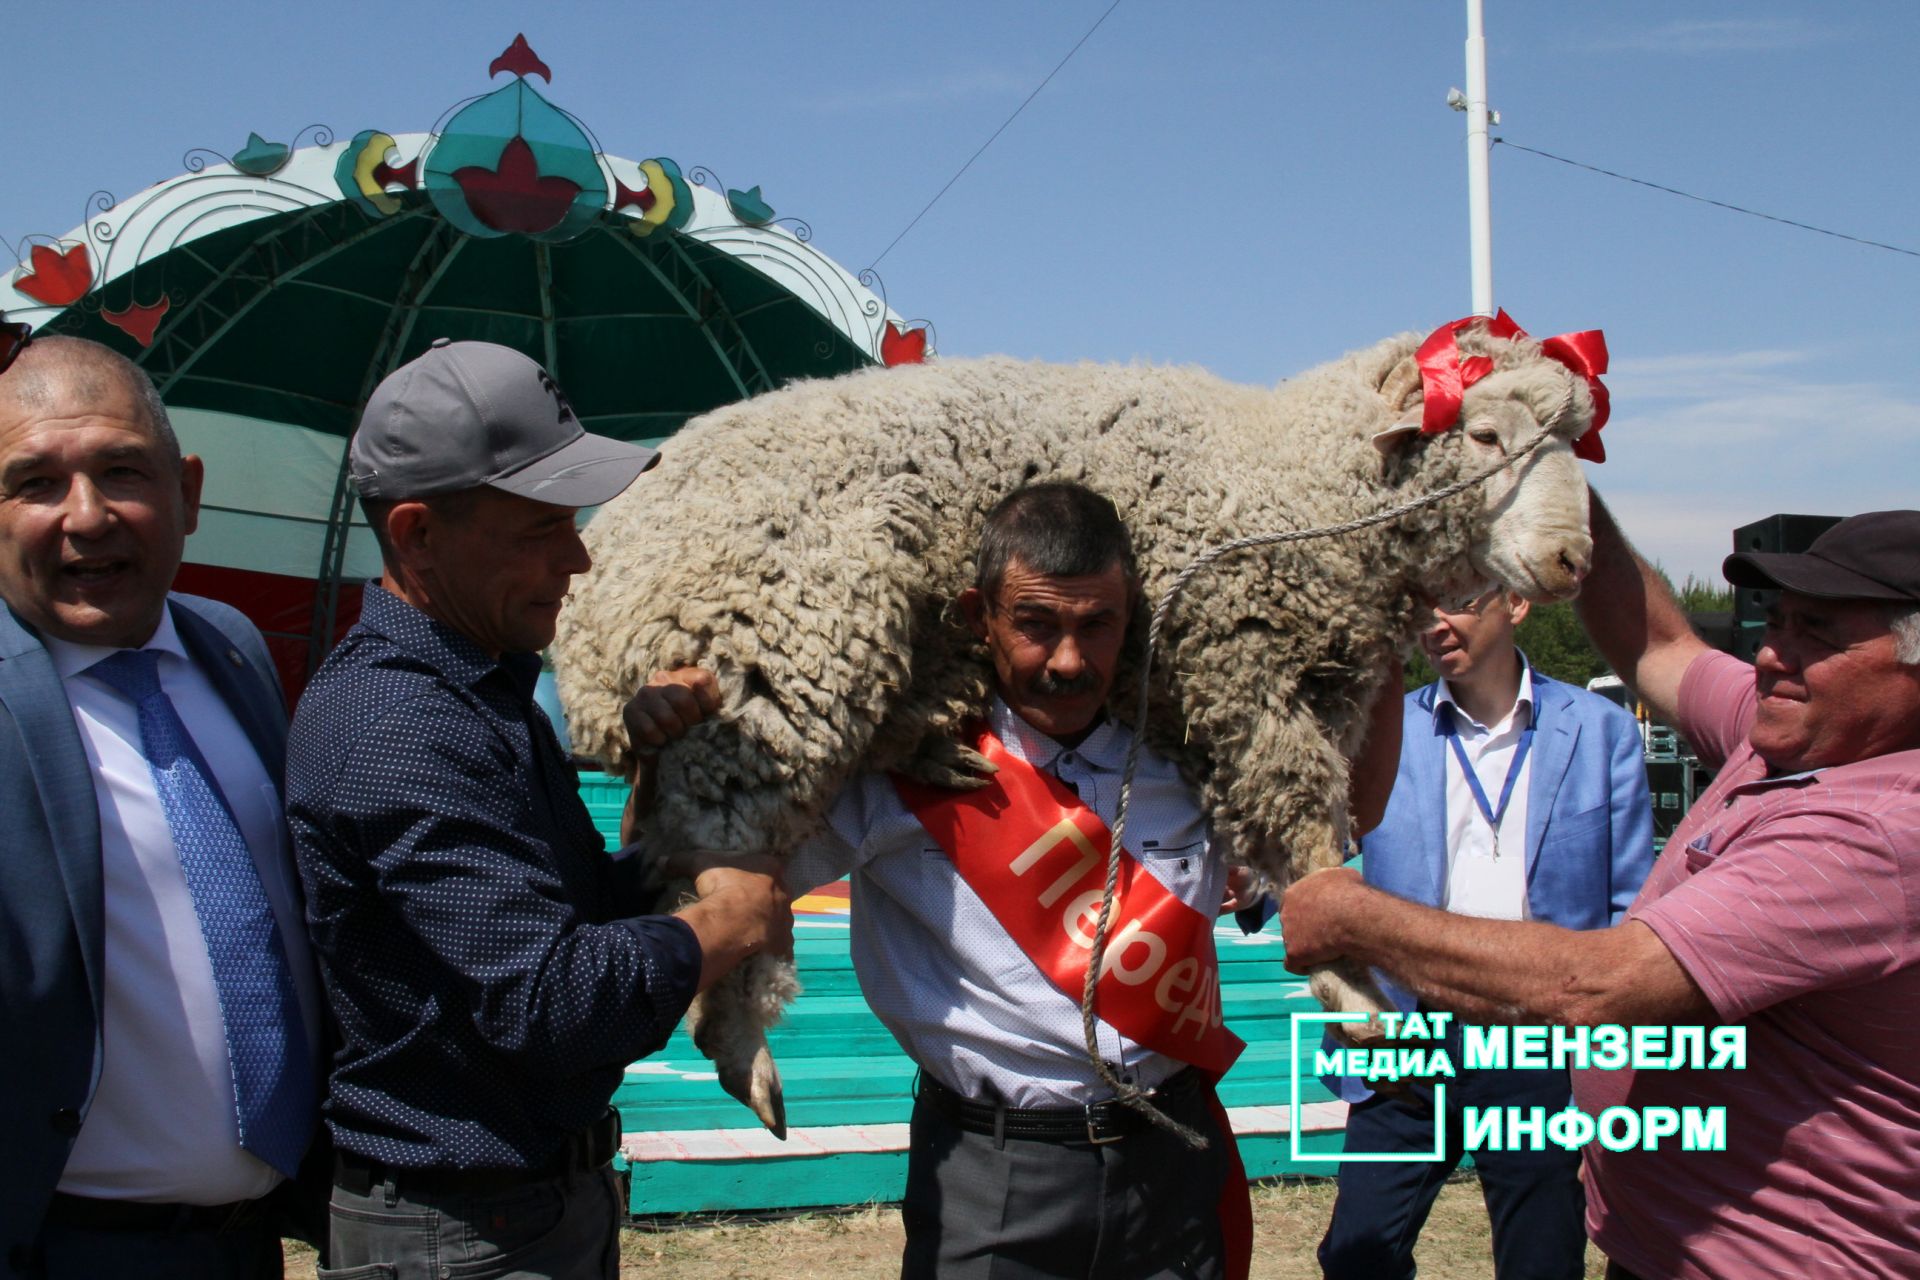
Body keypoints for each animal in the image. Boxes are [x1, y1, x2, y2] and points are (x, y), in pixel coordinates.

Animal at [552, 320, 1589, 1128]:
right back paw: (741, 1047)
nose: (1575, 561)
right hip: (775, 659)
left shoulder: (1299, 685)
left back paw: (929, 750)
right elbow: (1301, 830)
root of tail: (605, 561)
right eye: (1484, 433)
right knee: (718, 856)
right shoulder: (1243, 665)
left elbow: (1302, 826)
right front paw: (1357, 989)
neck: (1292, 483)